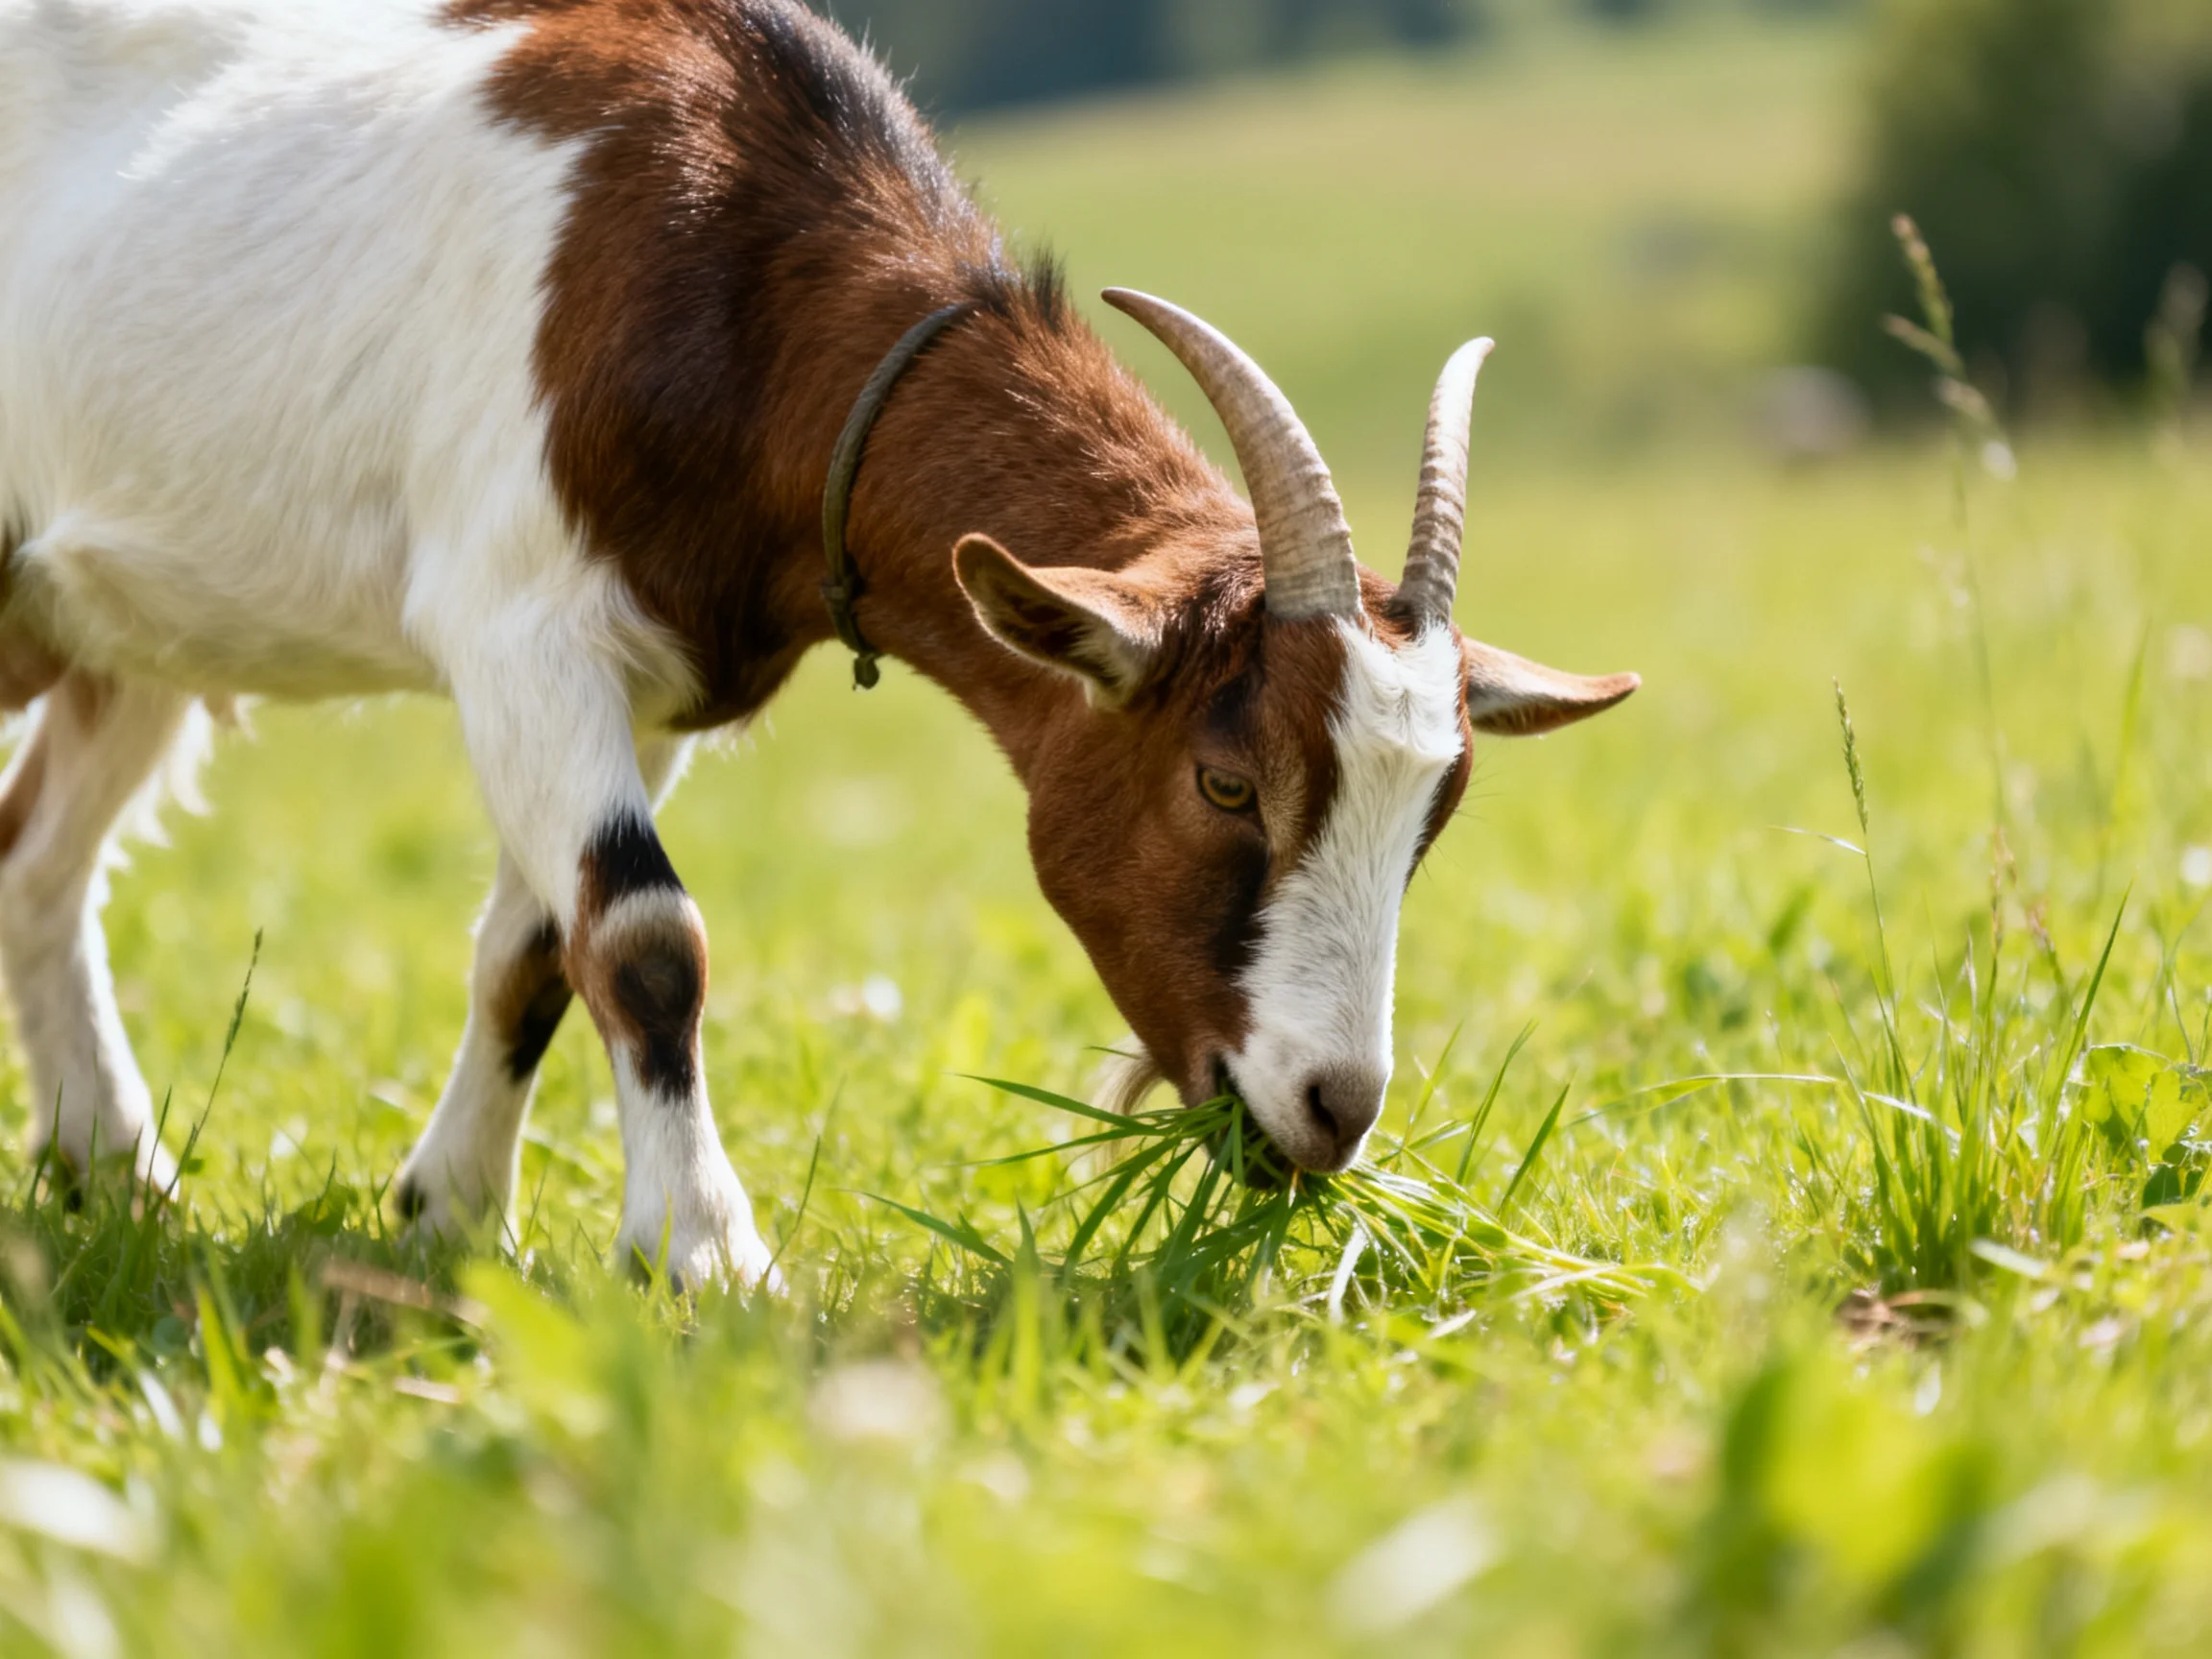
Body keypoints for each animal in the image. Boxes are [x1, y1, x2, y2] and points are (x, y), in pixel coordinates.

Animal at [0, 0, 1636, 1285]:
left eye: (1434, 817)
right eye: (1227, 781)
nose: (1331, 1111)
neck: (733, 267)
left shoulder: (656, 680)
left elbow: (534, 950)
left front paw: (449, 1215)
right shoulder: (520, 624)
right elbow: (646, 937)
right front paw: (705, 1254)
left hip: (108, 629)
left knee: (38, 861)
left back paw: (113, 1173)